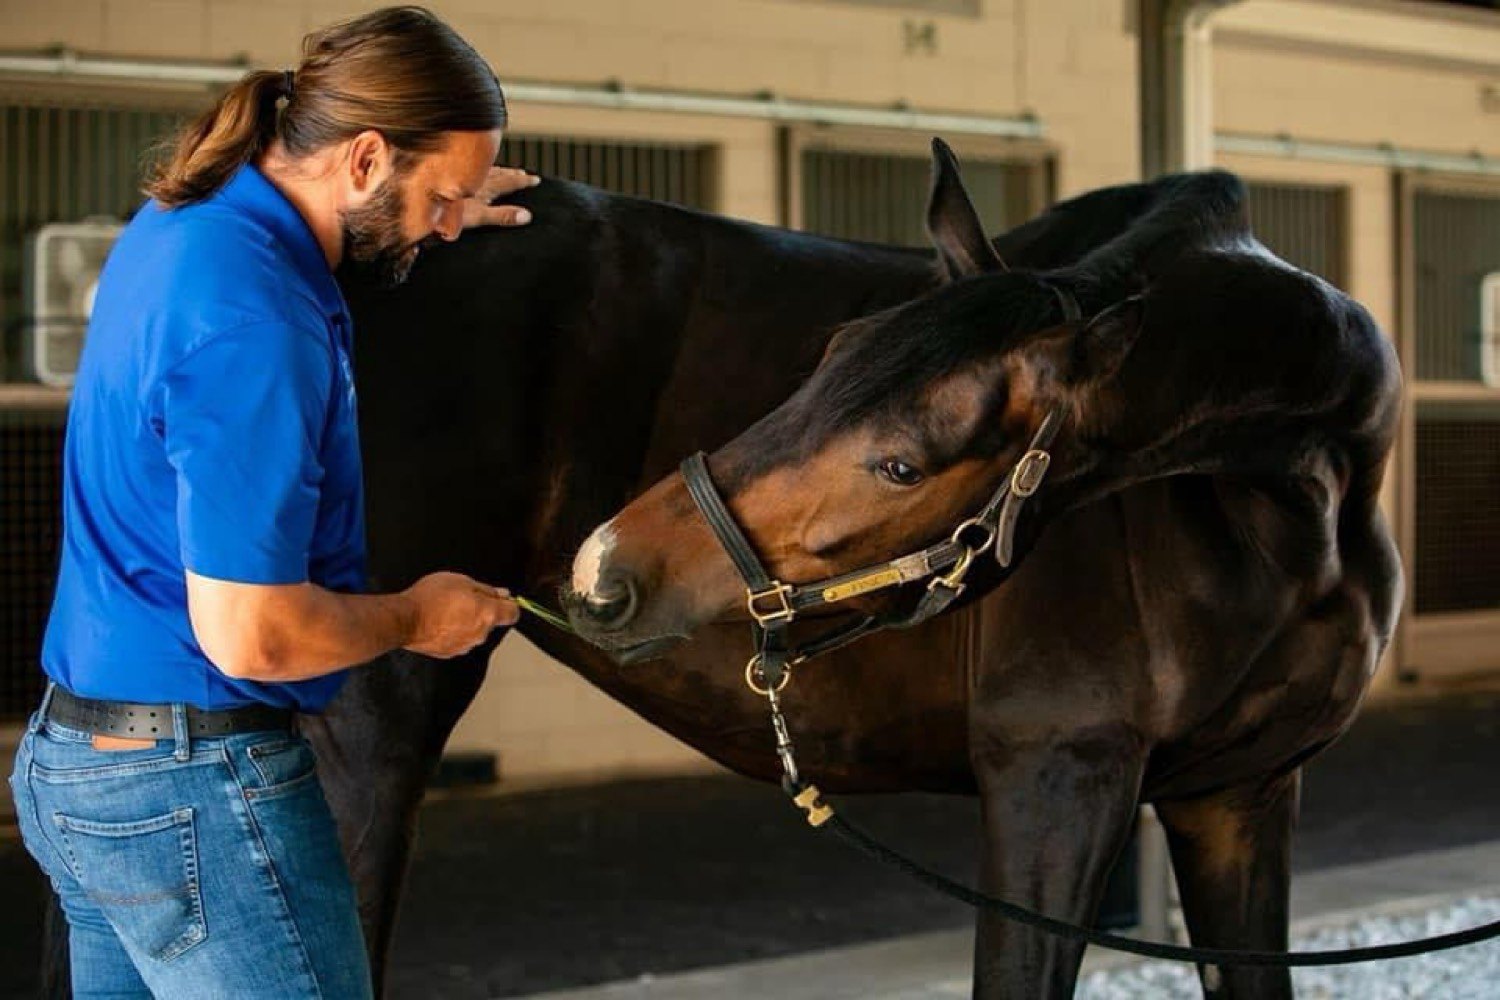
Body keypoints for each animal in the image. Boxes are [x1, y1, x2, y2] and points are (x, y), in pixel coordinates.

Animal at [560, 141, 1404, 998]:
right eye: (829, 357)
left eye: (902, 466)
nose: (603, 568)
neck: (1291, 524)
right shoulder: (1052, 776)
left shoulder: (1235, 795)